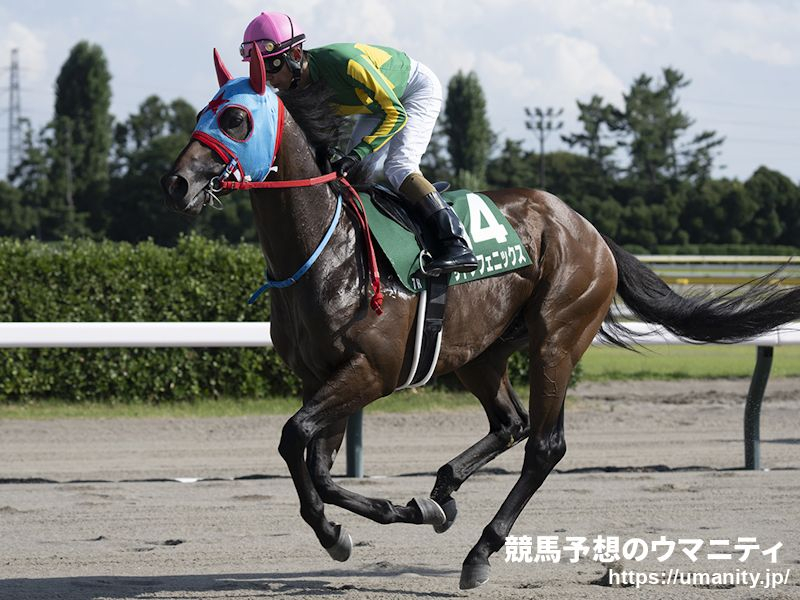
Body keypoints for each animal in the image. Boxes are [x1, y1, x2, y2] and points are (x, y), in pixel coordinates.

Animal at [161, 54, 800, 588]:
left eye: (236, 118)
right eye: (199, 114)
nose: (177, 183)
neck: (327, 248)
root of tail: (587, 228)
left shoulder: (371, 371)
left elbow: (296, 439)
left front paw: (368, 521)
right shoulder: (322, 375)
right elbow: (314, 462)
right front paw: (371, 522)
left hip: (556, 339)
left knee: (544, 445)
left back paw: (480, 551)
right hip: (478, 351)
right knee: (509, 422)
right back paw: (444, 490)